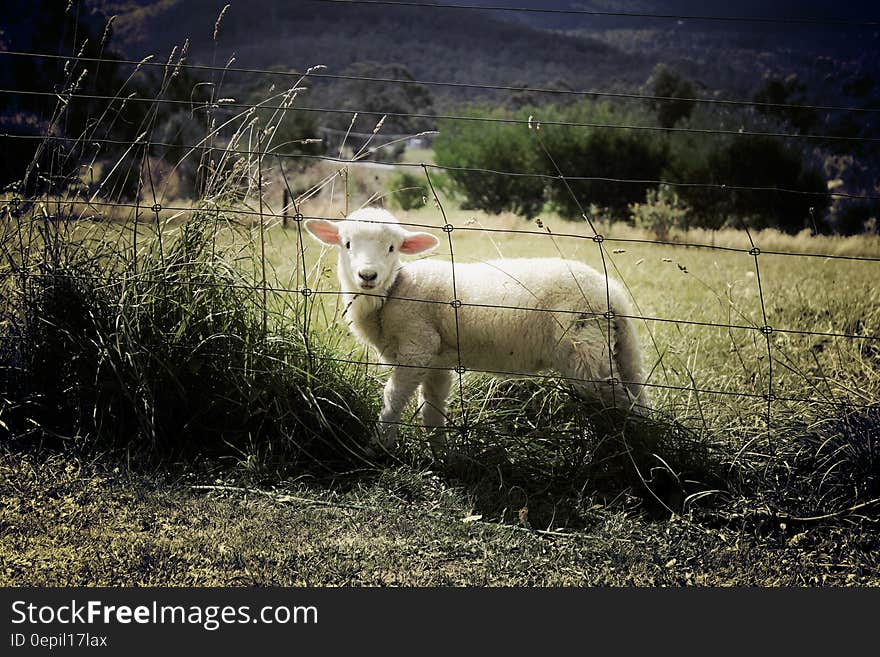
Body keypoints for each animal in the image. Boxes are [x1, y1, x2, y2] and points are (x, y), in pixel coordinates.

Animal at [306, 208, 648, 448]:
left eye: (392, 248)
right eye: (347, 244)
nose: (367, 275)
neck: (393, 292)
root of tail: (611, 293)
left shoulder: (417, 347)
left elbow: (393, 398)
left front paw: (378, 446)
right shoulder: (437, 360)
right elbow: (432, 409)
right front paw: (440, 453)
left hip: (584, 352)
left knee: (621, 401)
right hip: (615, 349)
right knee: (637, 394)